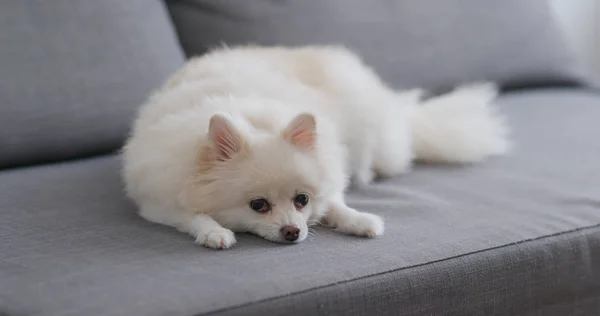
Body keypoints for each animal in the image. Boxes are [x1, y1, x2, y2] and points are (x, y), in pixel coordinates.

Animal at [120, 45, 506, 249]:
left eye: (301, 200)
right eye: (258, 205)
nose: (293, 231)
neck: (255, 118)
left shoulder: (329, 174)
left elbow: (335, 203)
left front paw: (359, 219)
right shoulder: (158, 202)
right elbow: (192, 215)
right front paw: (215, 232)